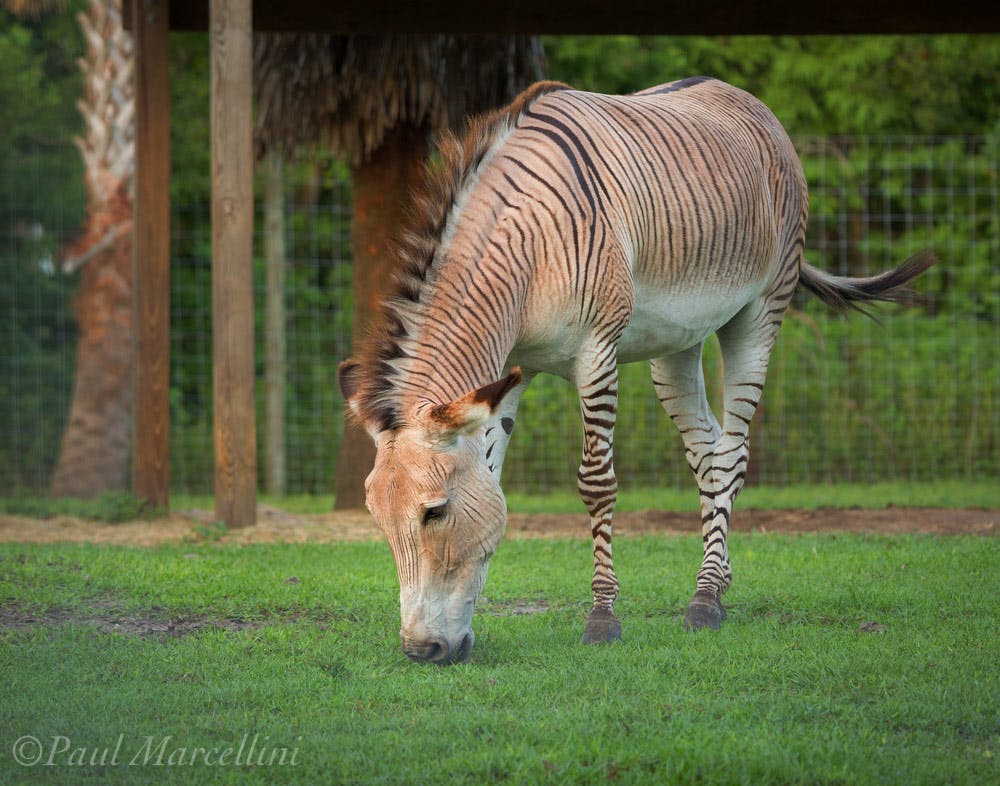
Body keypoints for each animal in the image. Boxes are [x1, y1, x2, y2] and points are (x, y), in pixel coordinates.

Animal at [338, 76, 934, 664]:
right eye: (378, 520)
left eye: (434, 513)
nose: (423, 652)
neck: (526, 253)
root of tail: (739, 95)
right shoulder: (509, 370)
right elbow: (493, 482)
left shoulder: (596, 352)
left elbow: (596, 483)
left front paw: (603, 617)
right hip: (677, 339)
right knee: (708, 450)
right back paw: (715, 583)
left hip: (761, 311)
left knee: (733, 451)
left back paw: (706, 602)